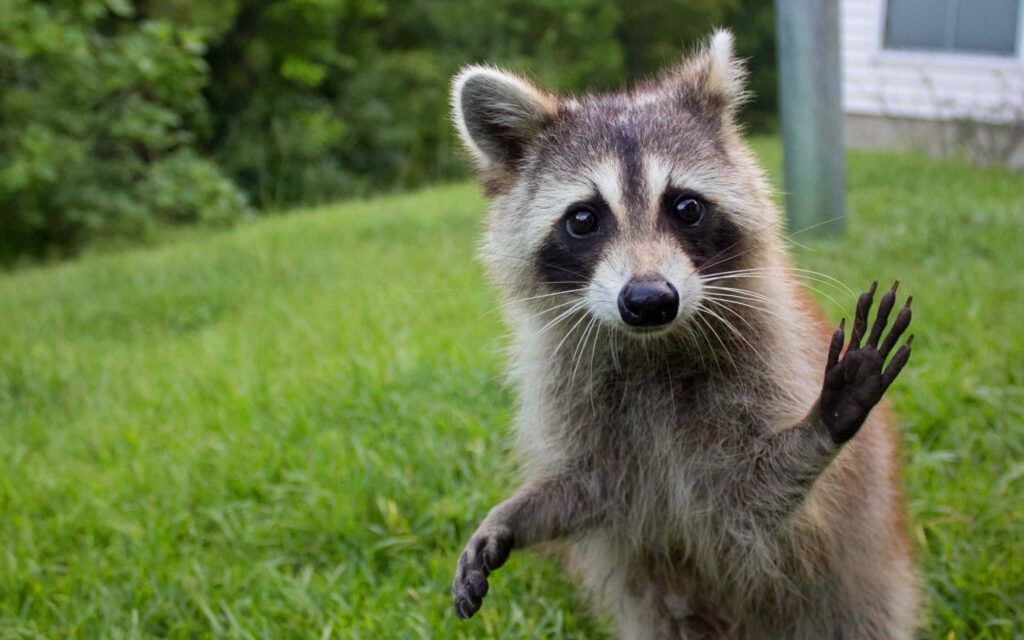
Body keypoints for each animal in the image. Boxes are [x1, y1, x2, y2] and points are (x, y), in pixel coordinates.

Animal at [449, 31, 920, 639]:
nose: (650, 300)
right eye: (584, 219)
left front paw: (819, 426)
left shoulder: (768, 365)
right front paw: (513, 514)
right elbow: (588, 489)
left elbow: (754, 497)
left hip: (861, 592)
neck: (651, 348)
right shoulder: (573, 393)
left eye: (686, 207)